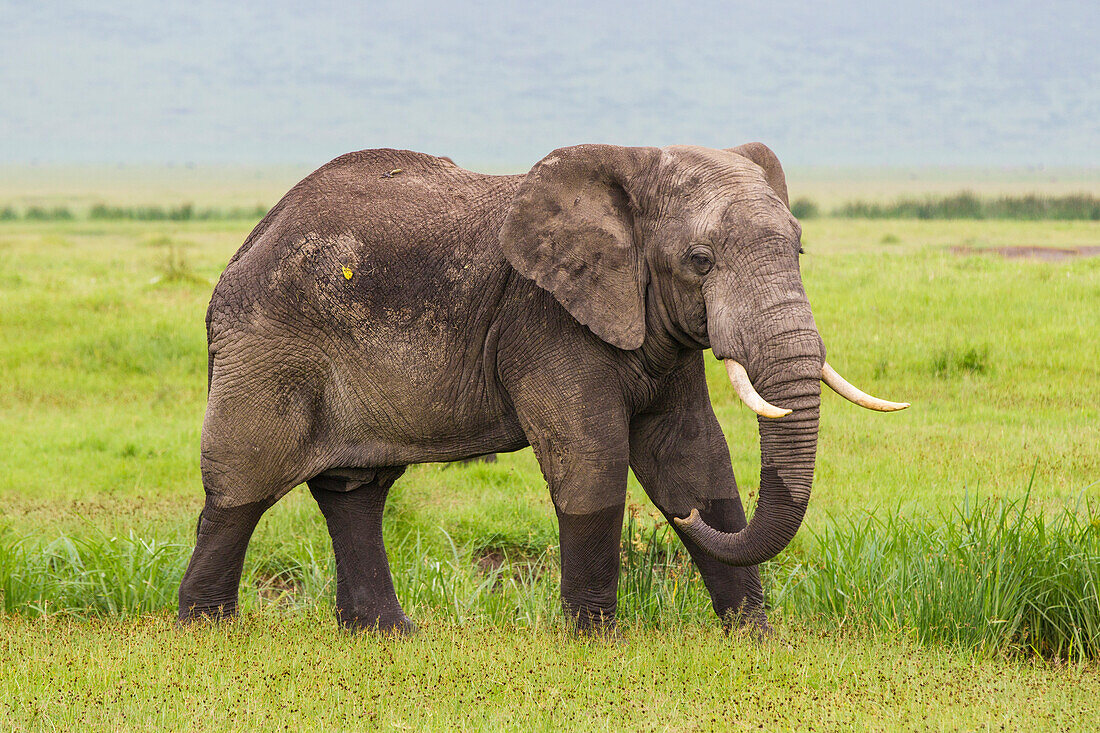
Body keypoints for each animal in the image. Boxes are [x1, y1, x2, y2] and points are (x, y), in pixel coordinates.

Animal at [176, 143, 906, 633]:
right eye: (700, 261)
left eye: (799, 250)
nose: (683, 522)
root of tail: (247, 243)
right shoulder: (544, 319)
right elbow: (592, 460)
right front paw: (597, 642)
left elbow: (692, 454)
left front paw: (752, 638)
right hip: (267, 346)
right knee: (242, 485)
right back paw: (208, 630)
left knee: (356, 491)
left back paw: (388, 635)